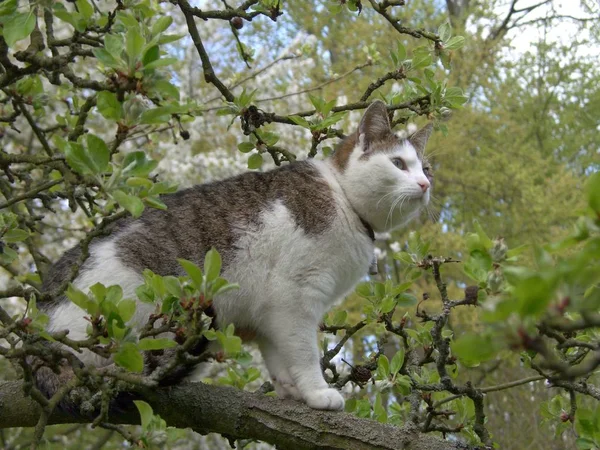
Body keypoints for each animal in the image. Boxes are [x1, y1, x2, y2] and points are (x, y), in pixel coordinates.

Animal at [39, 100, 434, 410]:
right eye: (399, 164)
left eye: (426, 168)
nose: (425, 184)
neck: (344, 200)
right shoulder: (295, 296)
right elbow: (304, 352)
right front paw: (317, 392)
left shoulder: (270, 312)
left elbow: (278, 353)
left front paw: (290, 390)